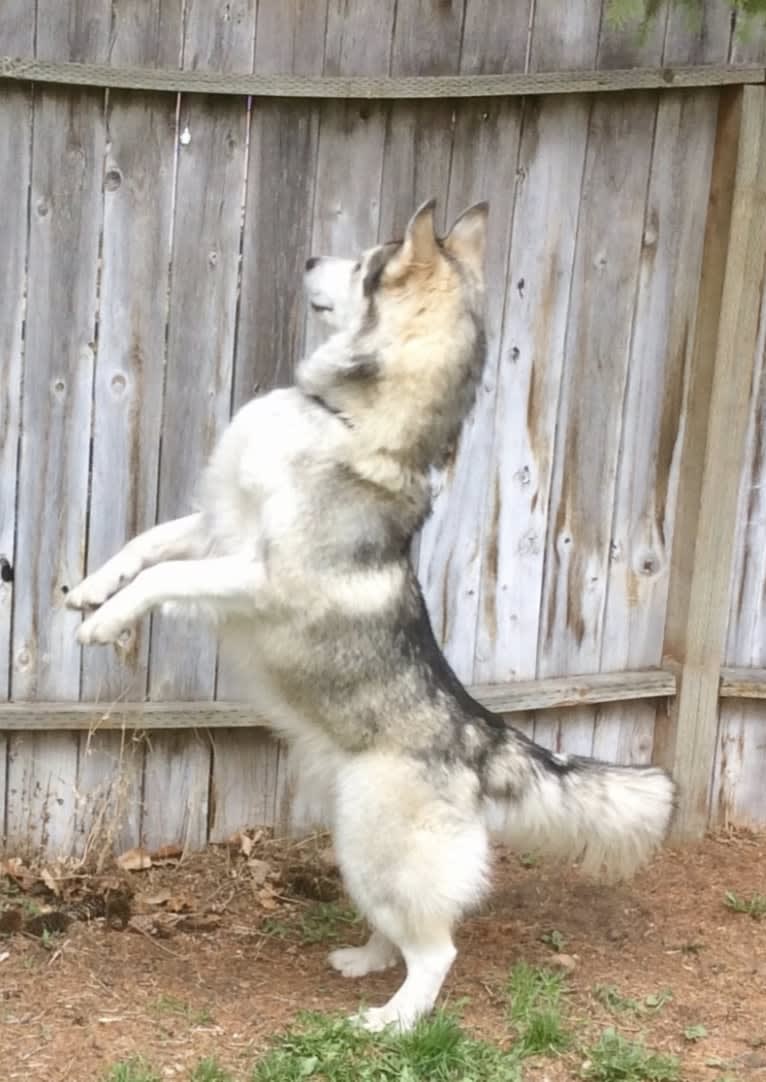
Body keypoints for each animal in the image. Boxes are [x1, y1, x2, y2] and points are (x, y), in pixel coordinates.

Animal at [67, 199, 675, 1034]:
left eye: (363, 264)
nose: (309, 257)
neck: (340, 415)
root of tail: (480, 737)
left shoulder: (255, 571)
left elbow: (168, 575)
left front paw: (107, 621)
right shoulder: (219, 526)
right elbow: (149, 545)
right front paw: (92, 591)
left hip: (378, 845)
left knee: (438, 950)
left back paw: (392, 1020)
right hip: (357, 838)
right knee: (402, 934)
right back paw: (364, 961)